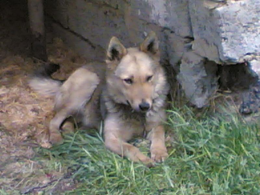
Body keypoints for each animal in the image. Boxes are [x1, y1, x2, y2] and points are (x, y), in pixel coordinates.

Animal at [29, 32, 170, 166]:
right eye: (128, 80)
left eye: (149, 78)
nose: (145, 106)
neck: (137, 115)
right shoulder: (112, 138)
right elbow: (130, 148)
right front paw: (143, 159)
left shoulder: (156, 125)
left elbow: (159, 134)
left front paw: (159, 152)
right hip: (87, 86)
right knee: (55, 121)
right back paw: (57, 137)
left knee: (68, 122)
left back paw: (74, 134)